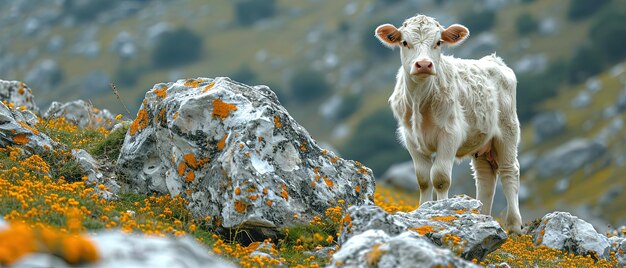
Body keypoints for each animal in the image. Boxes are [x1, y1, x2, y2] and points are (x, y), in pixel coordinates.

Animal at [376, 14, 520, 234]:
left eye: (438, 42)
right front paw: (423, 208)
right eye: (405, 42)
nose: (423, 64)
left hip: (507, 131)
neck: (420, 101)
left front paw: (441, 211)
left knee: (508, 171)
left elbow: (440, 178)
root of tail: (494, 60)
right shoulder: (411, 140)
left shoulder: (449, 135)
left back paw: (514, 225)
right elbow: (423, 179)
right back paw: (484, 216)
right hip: (482, 143)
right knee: (485, 178)